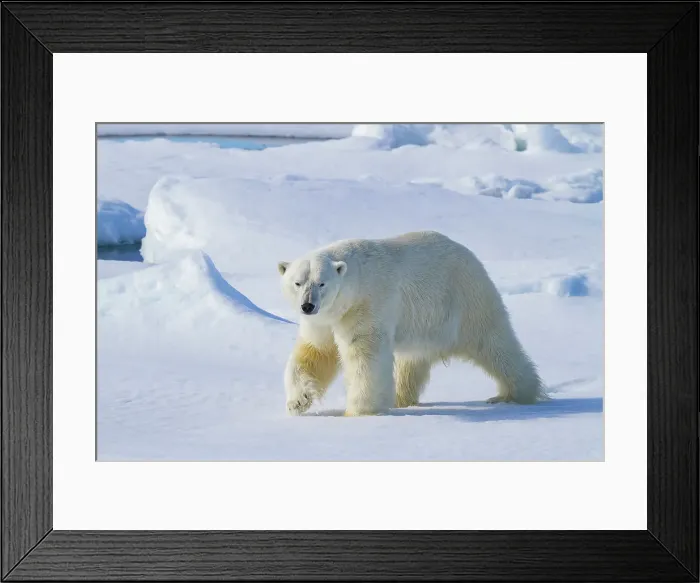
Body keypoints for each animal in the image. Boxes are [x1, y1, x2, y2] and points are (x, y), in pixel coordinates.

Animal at [277, 230, 547, 416]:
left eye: (322, 283)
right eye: (298, 282)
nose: (307, 306)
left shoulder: (367, 304)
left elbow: (364, 355)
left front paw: (359, 411)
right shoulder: (325, 319)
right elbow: (316, 352)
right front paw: (298, 401)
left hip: (467, 301)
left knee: (495, 346)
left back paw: (515, 394)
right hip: (424, 326)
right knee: (411, 363)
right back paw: (401, 399)